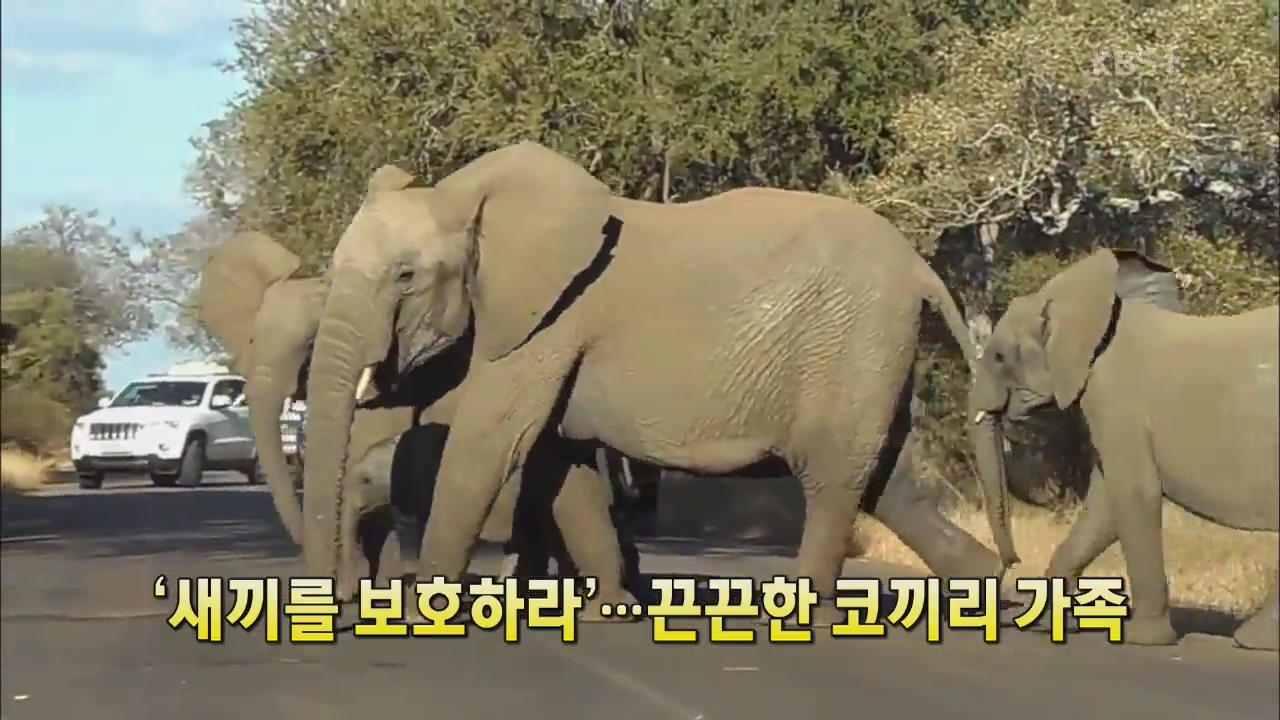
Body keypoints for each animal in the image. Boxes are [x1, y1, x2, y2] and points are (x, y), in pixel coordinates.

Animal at [299, 141, 1008, 617]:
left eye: (406, 277)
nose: (336, 603)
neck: (466, 197)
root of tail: (920, 268)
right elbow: (560, 460)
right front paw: (612, 607)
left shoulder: (548, 321)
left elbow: (491, 441)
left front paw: (430, 613)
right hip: (871, 353)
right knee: (887, 482)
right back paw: (994, 591)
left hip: (853, 340)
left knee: (836, 480)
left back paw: (809, 615)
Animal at [972, 248, 1274, 650]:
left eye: (1000, 357)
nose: (1009, 564)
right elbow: (1104, 507)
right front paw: (1047, 622)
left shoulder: (1114, 399)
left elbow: (1133, 494)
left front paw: (1143, 639)